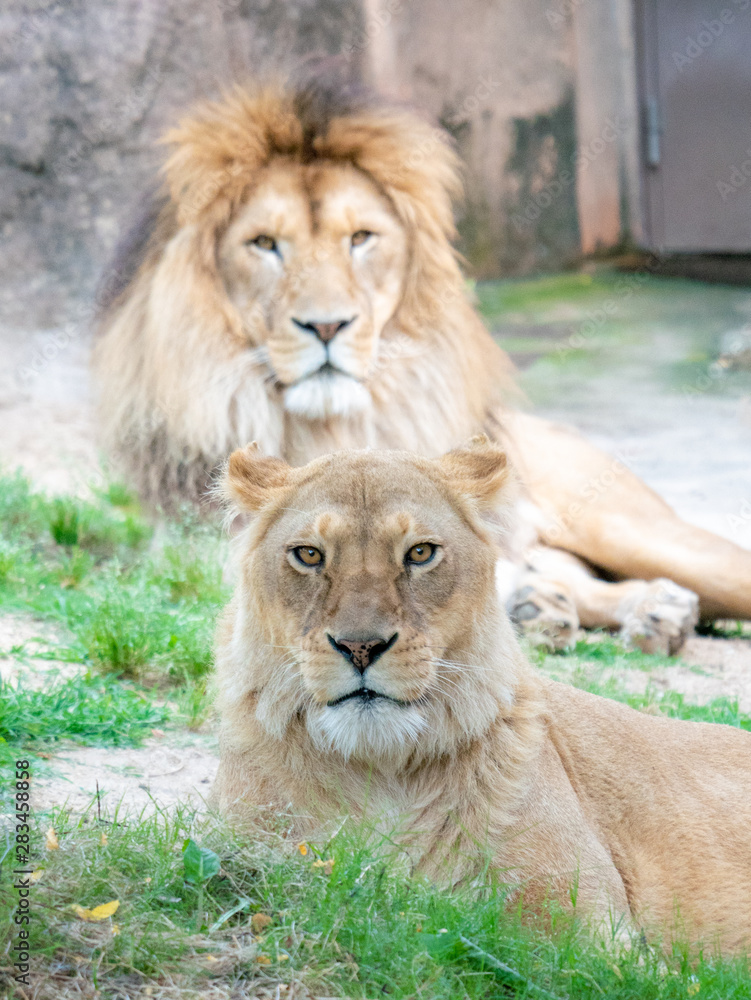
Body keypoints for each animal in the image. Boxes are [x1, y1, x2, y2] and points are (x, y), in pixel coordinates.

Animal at [93, 80, 751, 651]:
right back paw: (621, 612)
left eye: (361, 238)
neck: (334, 430)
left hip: (627, 528)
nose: (327, 326)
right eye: (264, 245)